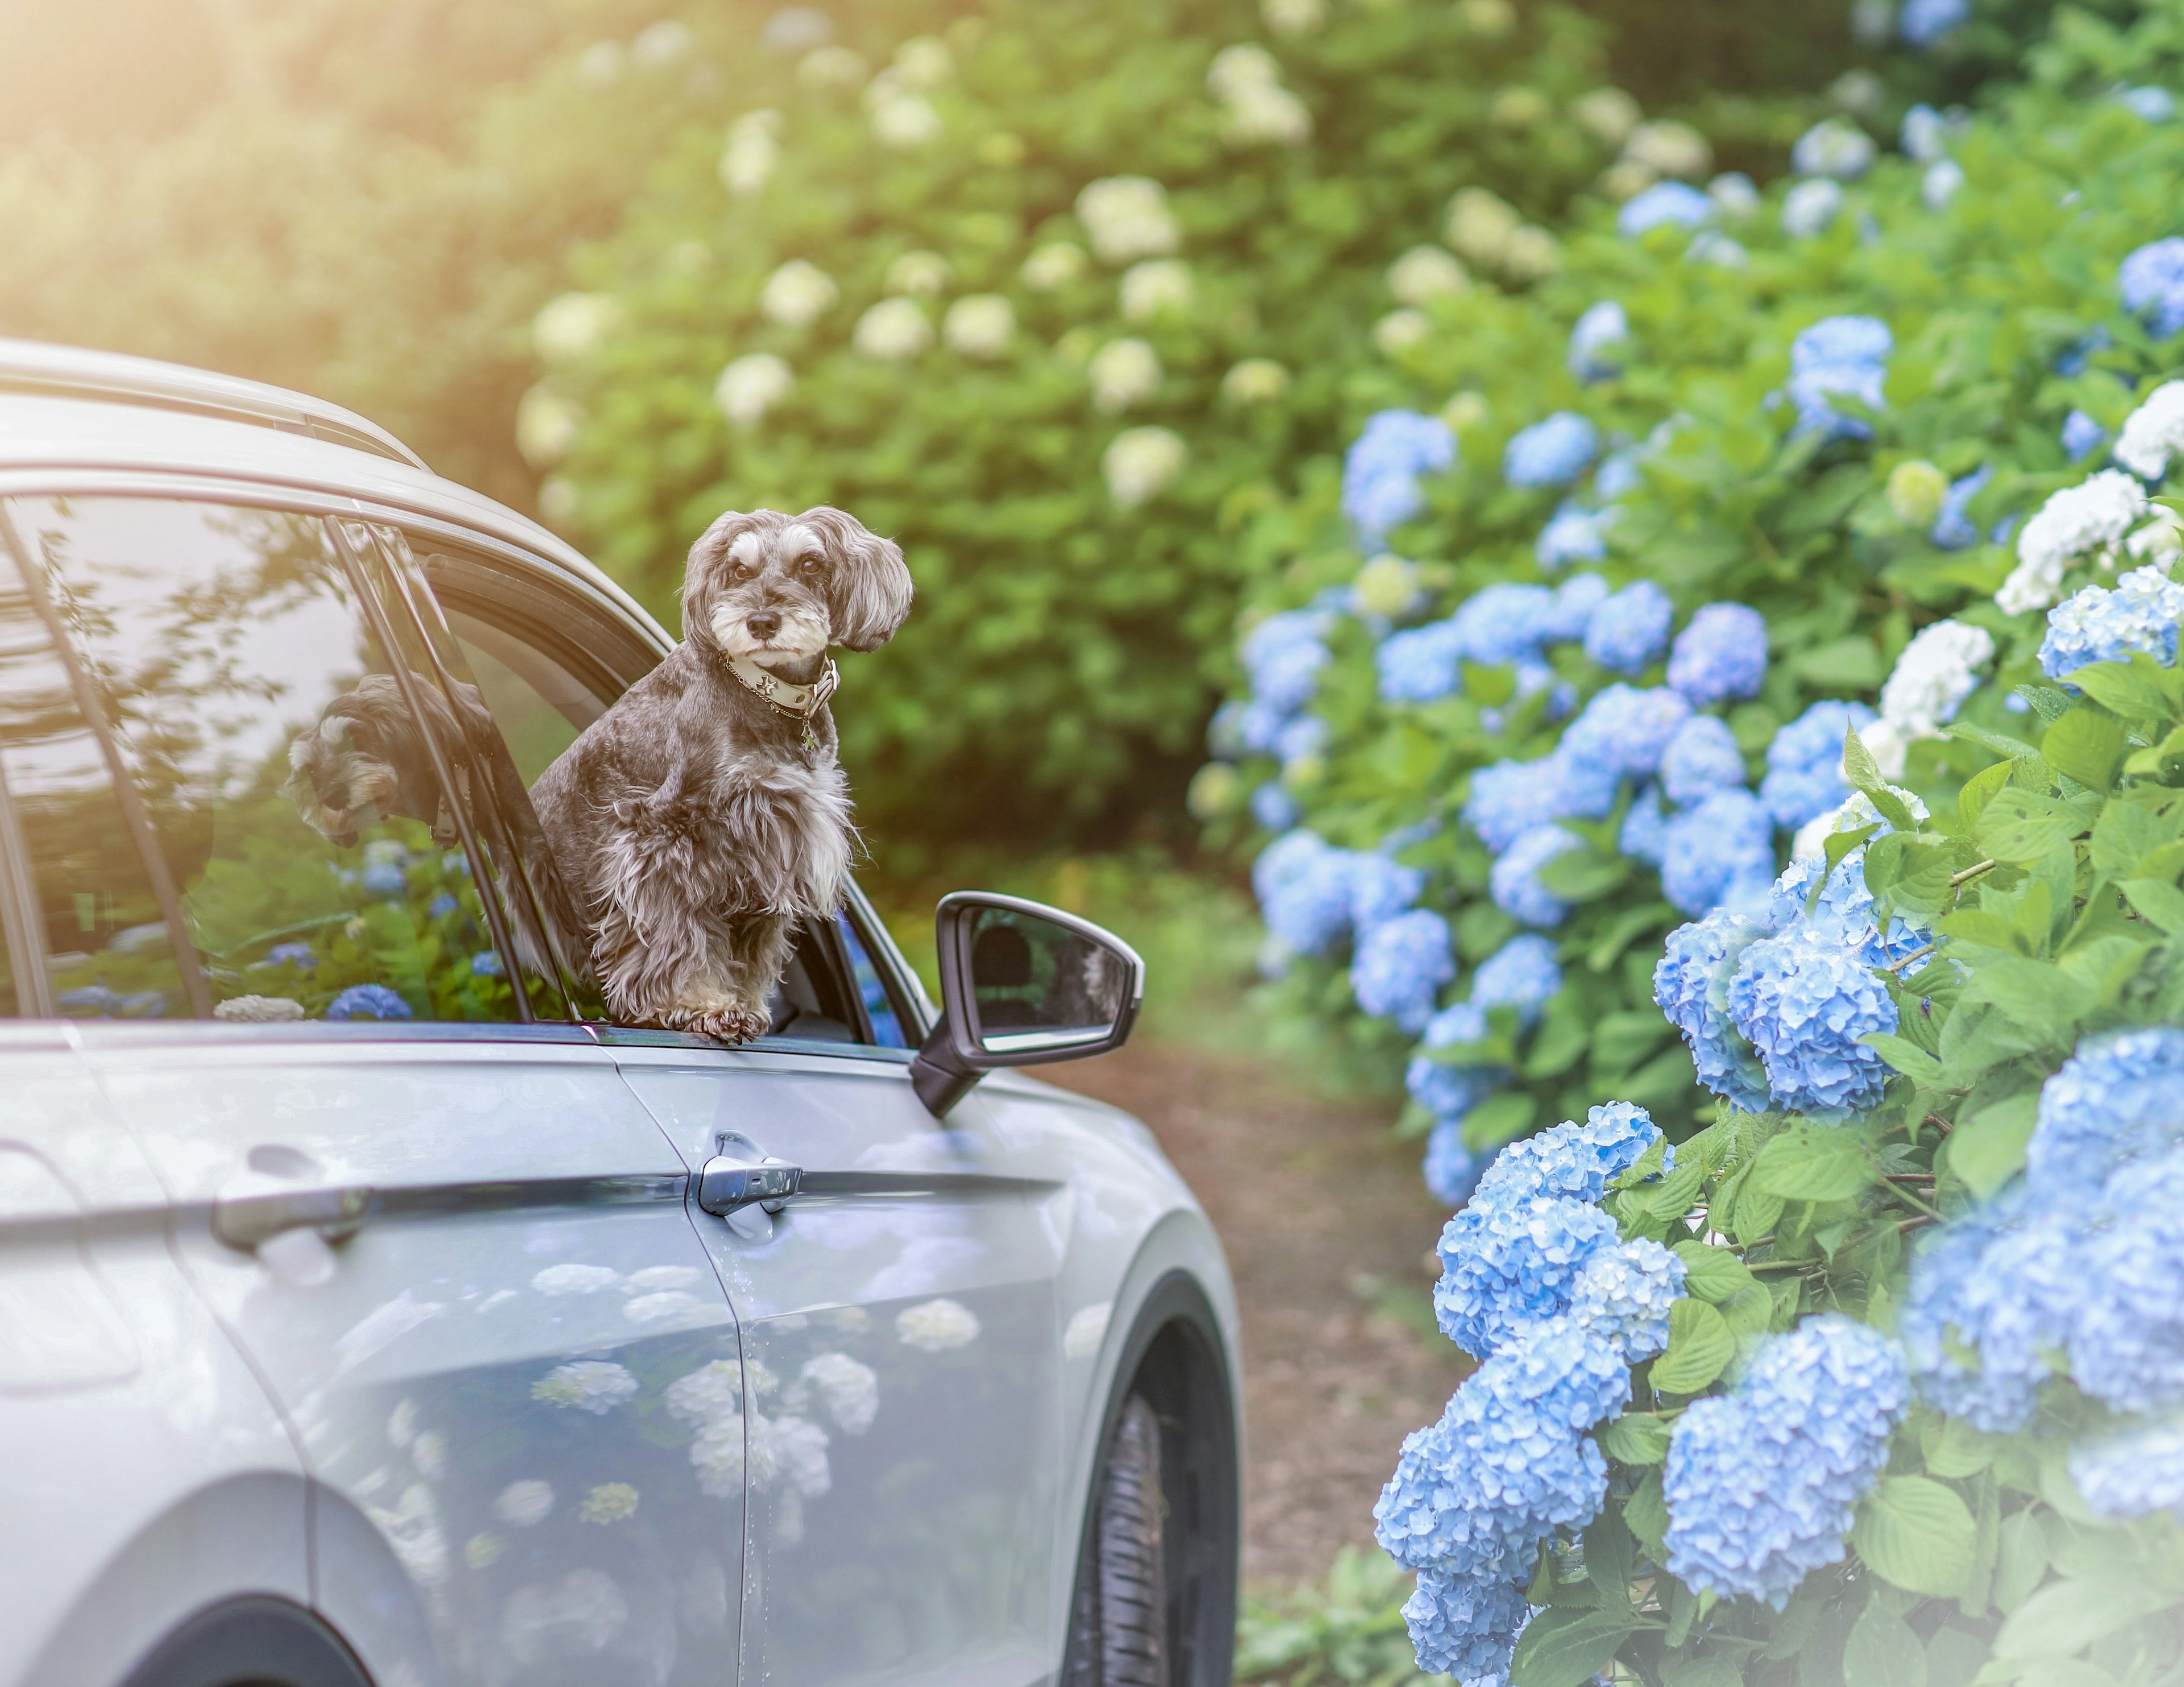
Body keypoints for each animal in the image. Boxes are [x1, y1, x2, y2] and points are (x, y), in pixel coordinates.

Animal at [528, 499, 913, 1039]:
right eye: (740, 570)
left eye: (810, 564)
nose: (762, 621)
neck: (767, 696)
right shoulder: (664, 836)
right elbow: (675, 932)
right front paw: (700, 1005)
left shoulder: (776, 841)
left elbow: (756, 944)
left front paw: (746, 1003)